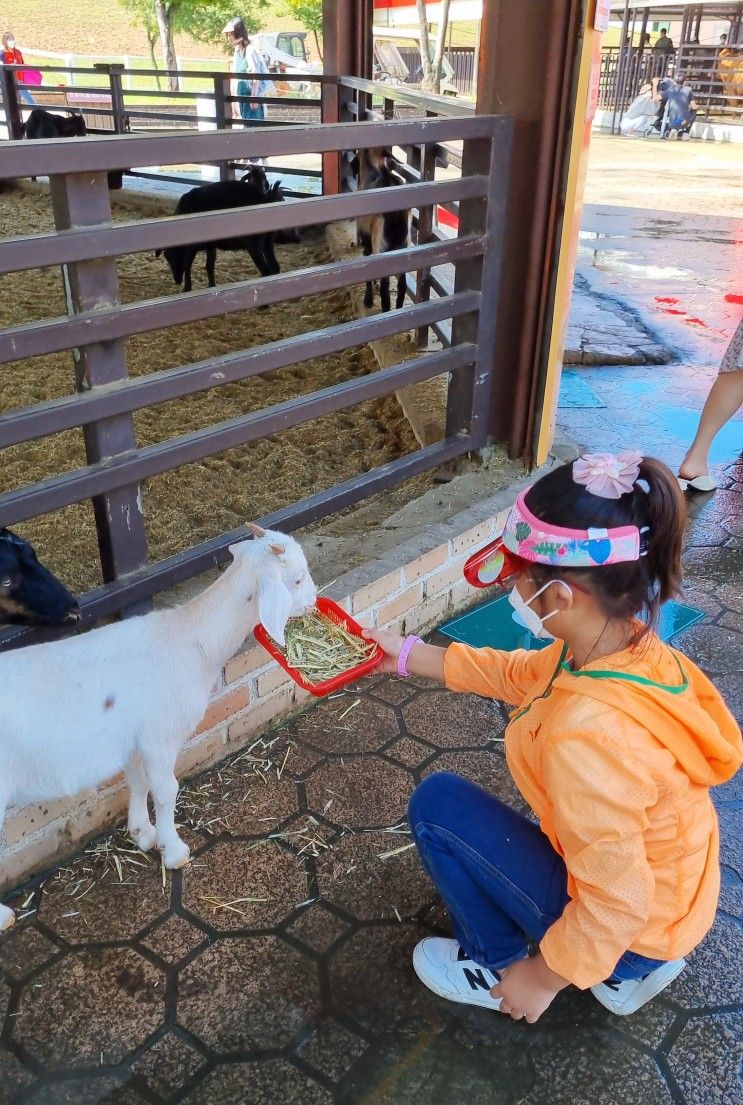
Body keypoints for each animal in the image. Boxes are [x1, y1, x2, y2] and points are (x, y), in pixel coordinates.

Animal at [0, 521, 316, 928]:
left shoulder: (134, 739)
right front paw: (173, 849)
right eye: (296, 579)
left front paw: (142, 833)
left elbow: (138, 782)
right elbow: (166, 790)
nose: (314, 599)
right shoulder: (160, 737)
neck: (190, 640)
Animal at [157, 176, 294, 291]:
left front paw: (187, 289)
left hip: (254, 244)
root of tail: (265, 198)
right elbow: (209, 265)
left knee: (266, 271)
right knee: (275, 267)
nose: (177, 280)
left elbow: (187, 264)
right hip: (268, 241)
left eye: (171, 256)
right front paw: (211, 286)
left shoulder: (191, 246)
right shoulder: (210, 244)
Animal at [353, 146, 411, 311]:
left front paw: (368, 300)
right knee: (402, 283)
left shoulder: (368, 241)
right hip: (404, 246)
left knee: (386, 284)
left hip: (381, 244)